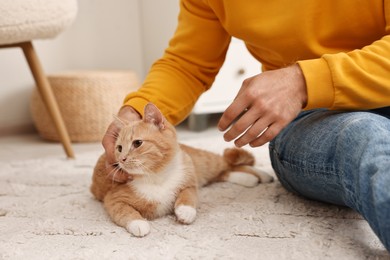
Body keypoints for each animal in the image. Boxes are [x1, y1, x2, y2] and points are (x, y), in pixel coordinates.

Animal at [91, 102, 272, 237]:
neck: (156, 176)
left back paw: (263, 175)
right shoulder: (113, 199)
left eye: (137, 143)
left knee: (228, 164)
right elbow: (124, 211)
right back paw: (249, 179)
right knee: (225, 172)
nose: (121, 160)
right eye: (119, 148)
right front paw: (139, 223)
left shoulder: (189, 182)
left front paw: (185, 210)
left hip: (204, 163)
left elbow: (188, 195)